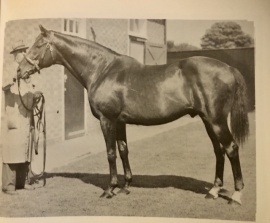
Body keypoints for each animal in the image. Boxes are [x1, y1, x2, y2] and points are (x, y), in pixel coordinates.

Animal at [16, 25, 249, 205]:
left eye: (38, 45)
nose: (19, 71)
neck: (102, 70)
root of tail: (229, 68)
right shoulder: (120, 122)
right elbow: (123, 150)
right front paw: (126, 186)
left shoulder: (107, 120)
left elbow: (110, 153)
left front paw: (109, 189)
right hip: (207, 120)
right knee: (219, 151)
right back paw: (213, 191)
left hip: (216, 121)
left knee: (231, 149)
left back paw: (237, 195)